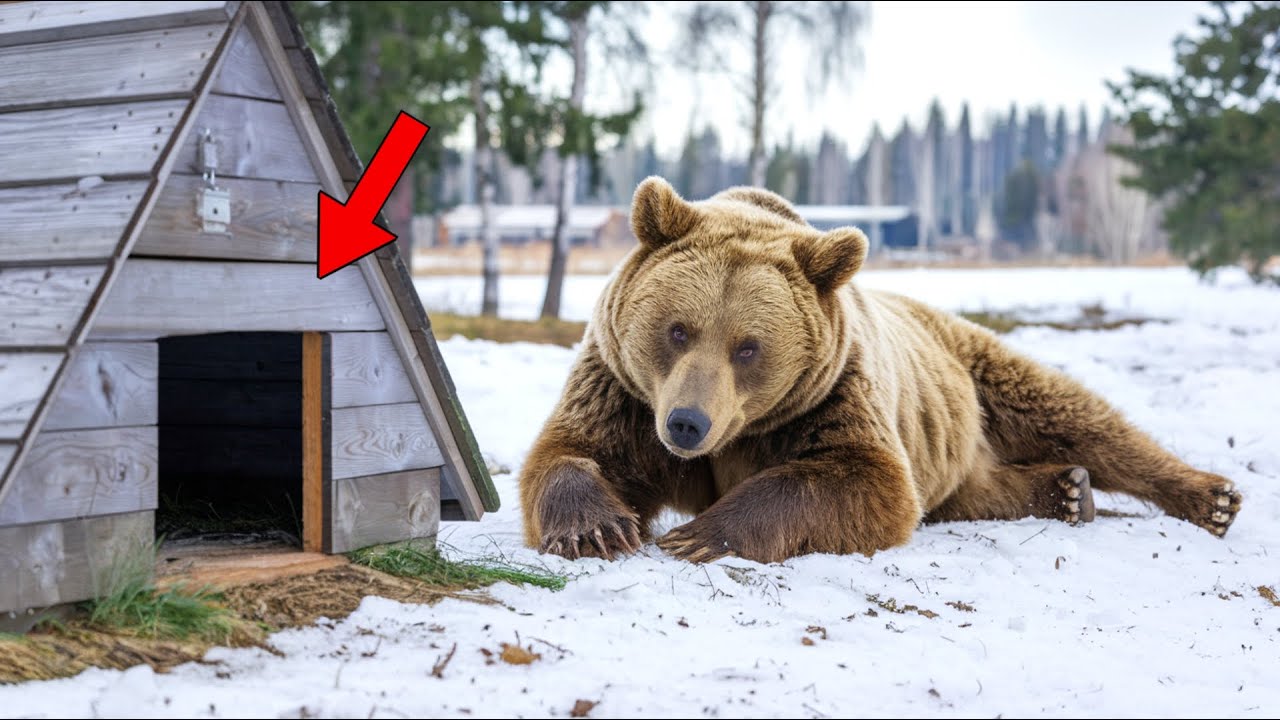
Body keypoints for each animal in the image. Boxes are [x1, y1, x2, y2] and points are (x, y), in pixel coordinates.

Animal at [518, 176, 1243, 564]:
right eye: (677, 330)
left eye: (748, 347)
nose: (688, 424)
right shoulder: (623, 388)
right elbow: (573, 450)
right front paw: (596, 527)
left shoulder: (829, 396)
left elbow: (864, 481)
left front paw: (700, 536)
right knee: (971, 488)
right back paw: (1067, 490)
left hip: (972, 366)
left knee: (1071, 413)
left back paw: (1210, 498)